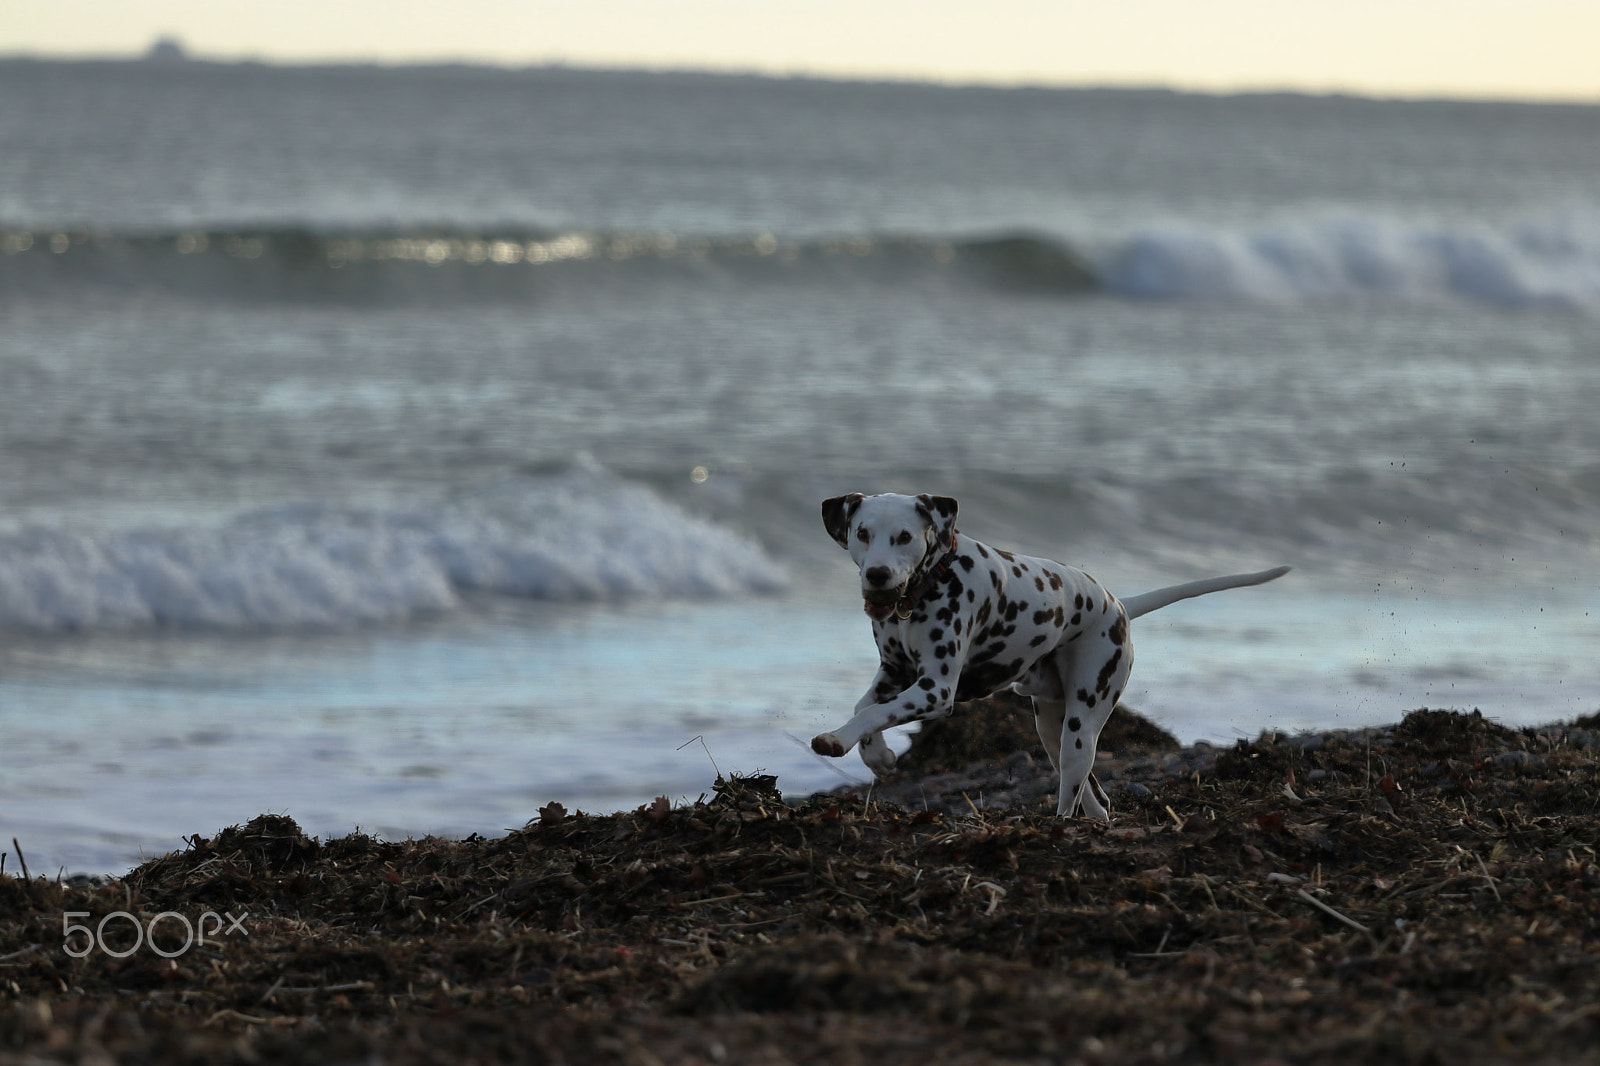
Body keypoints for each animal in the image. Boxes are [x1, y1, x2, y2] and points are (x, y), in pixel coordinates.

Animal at [812, 492, 1286, 816]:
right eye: (862, 534)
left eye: (905, 537)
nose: (877, 574)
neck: (927, 586)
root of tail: (1117, 604)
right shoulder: (894, 673)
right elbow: (865, 708)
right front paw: (876, 755)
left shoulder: (935, 690)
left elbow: (873, 713)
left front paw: (840, 740)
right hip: (1050, 728)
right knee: (1093, 799)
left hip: (1081, 725)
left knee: (1071, 795)